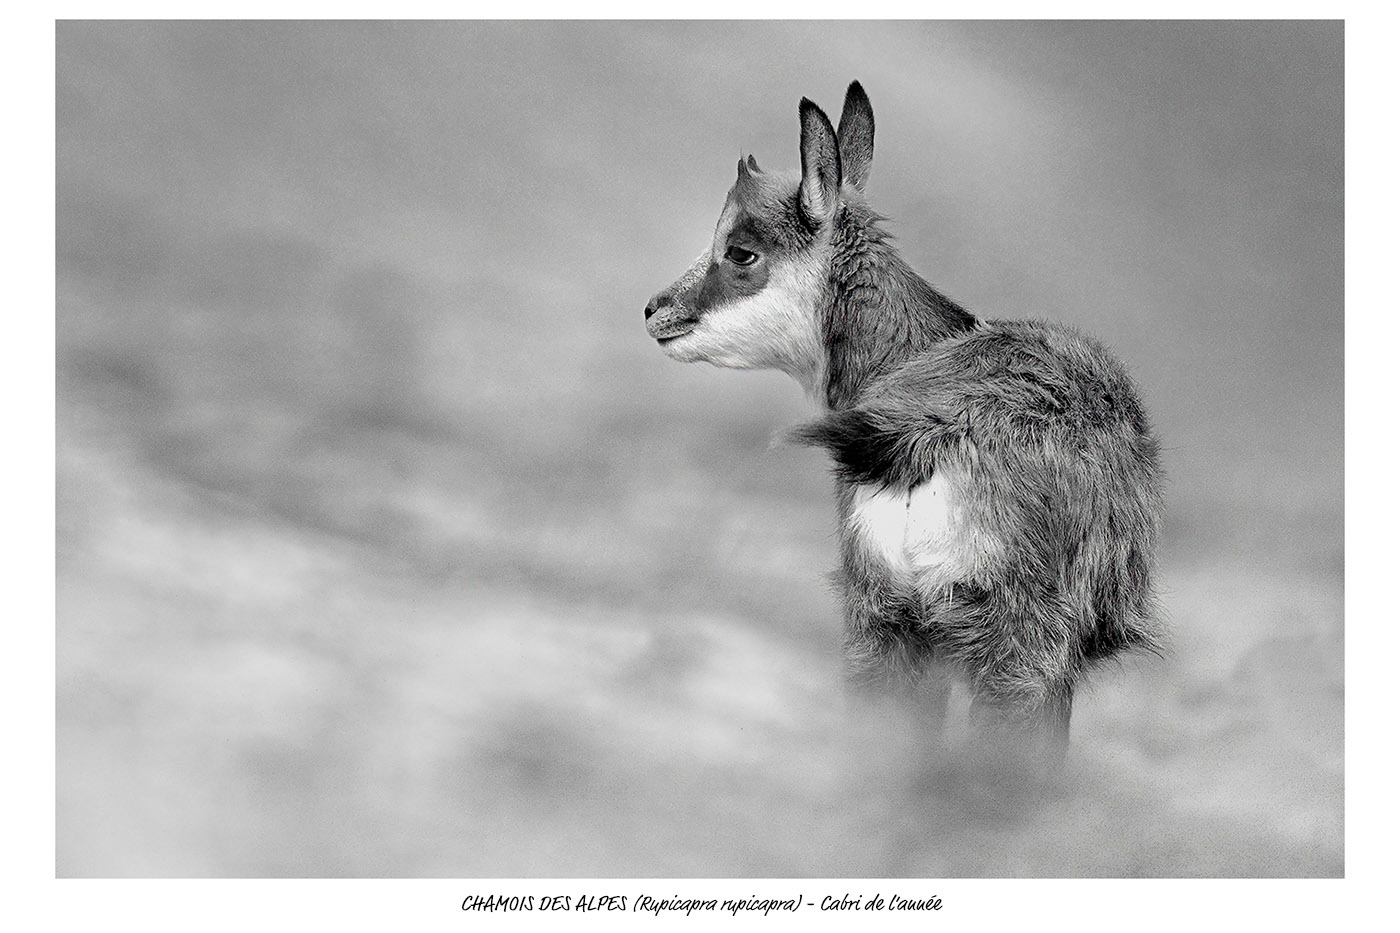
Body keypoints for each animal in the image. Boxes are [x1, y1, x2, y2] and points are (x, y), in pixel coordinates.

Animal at [643, 82, 1164, 765]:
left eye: (740, 252)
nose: (653, 310)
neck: (913, 349)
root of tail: (924, 433)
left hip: (886, 623)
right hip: (1016, 643)